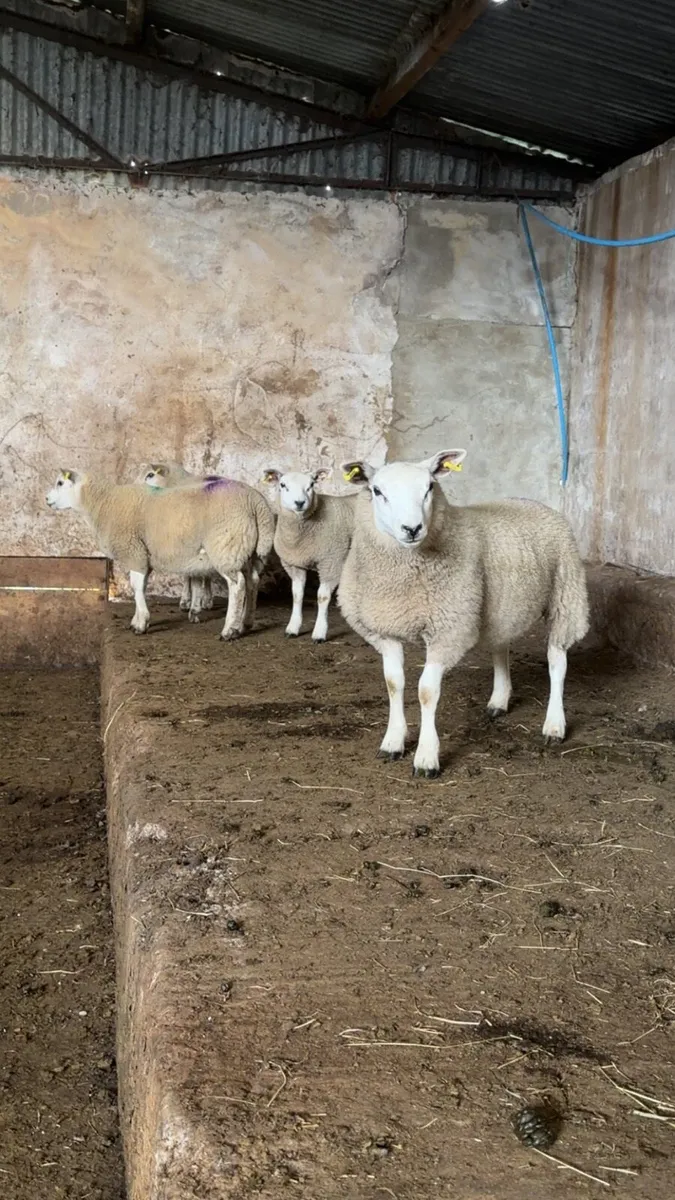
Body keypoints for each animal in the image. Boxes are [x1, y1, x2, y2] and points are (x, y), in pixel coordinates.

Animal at [46, 469, 275, 640]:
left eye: (60, 483)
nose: (46, 498)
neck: (102, 503)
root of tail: (256, 501)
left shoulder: (134, 551)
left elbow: (136, 586)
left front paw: (141, 623)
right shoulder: (143, 554)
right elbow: (141, 586)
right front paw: (137, 619)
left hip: (227, 546)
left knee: (238, 585)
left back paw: (229, 630)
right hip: (247, 550)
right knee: (252, 581)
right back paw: (246, 623)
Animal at [262, 468, 356, 642]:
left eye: (311, 484)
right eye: (282, 485)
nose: (299, 503)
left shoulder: (331, 562)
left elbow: (322, 597)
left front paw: (319, 632)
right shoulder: (295, 564)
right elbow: (297, 595)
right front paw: (292, 628)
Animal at [337, 450, 590, 778]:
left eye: (430, 487)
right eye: (377, 491)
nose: (412, 529)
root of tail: (532, 502)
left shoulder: (448, 630)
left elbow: (426, 691)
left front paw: (426, 758)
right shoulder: (384, 629)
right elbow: (394, 683)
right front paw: (393, 741)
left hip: (566, 594)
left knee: (557, 661)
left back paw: (554, 724)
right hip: (500, 607)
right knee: (500, 648)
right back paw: (499, 701)